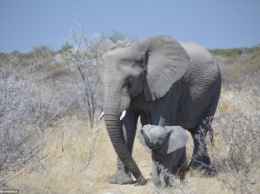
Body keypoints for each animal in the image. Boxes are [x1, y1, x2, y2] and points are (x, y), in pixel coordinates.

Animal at [98, 35, 221, 186]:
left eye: (129, 81)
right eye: (101, 81)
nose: (143, 180)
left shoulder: (171, 87)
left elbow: (160, 121)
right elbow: (128, 127)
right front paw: (120, 181)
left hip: (215, 88)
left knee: (201, 130)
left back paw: (197, 171)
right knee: (195, 131)